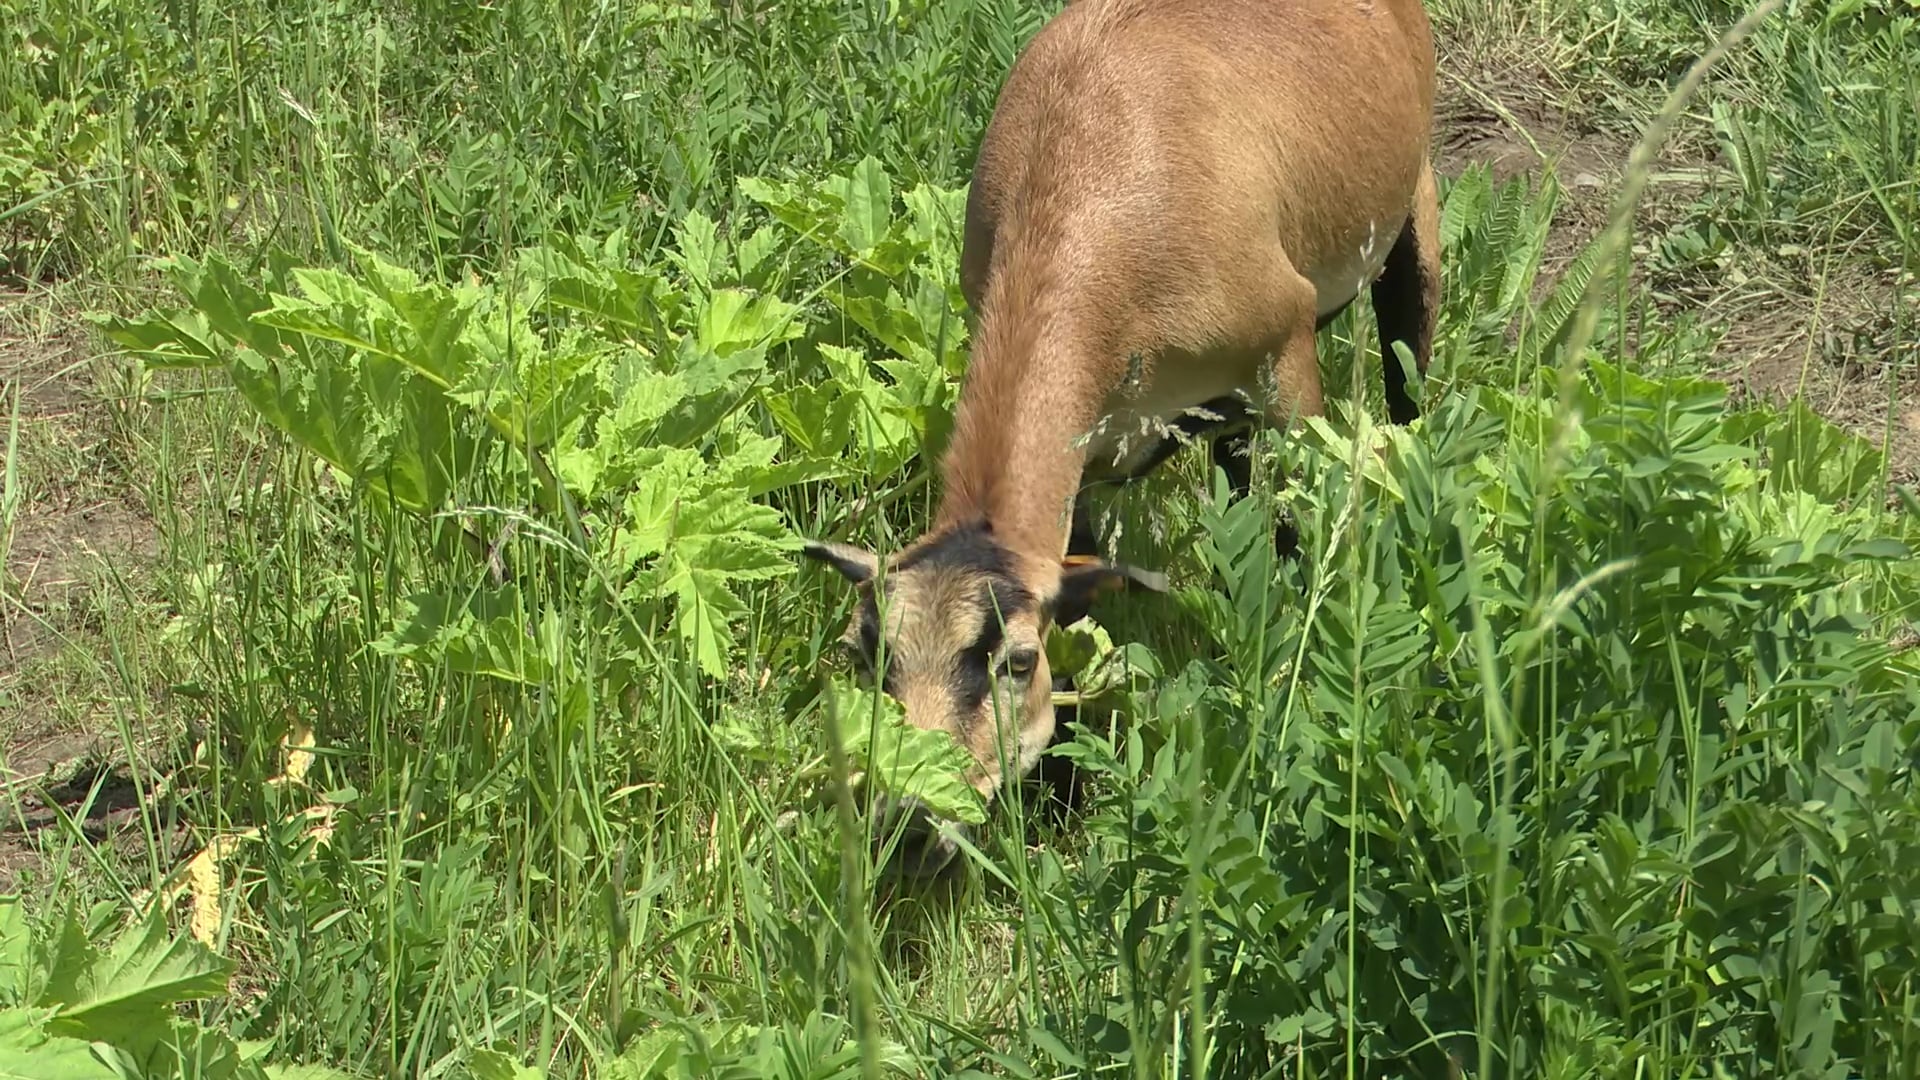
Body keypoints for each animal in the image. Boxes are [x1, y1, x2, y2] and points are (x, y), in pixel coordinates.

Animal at [798, 0, 1443, 868]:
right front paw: (1061, 799)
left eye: (1015, 661)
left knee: (1408, 383)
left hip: (1413, 207)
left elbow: (1299, 529)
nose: (912, 822)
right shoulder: (1090, 454)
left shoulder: (1285, 349)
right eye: (867, 657)